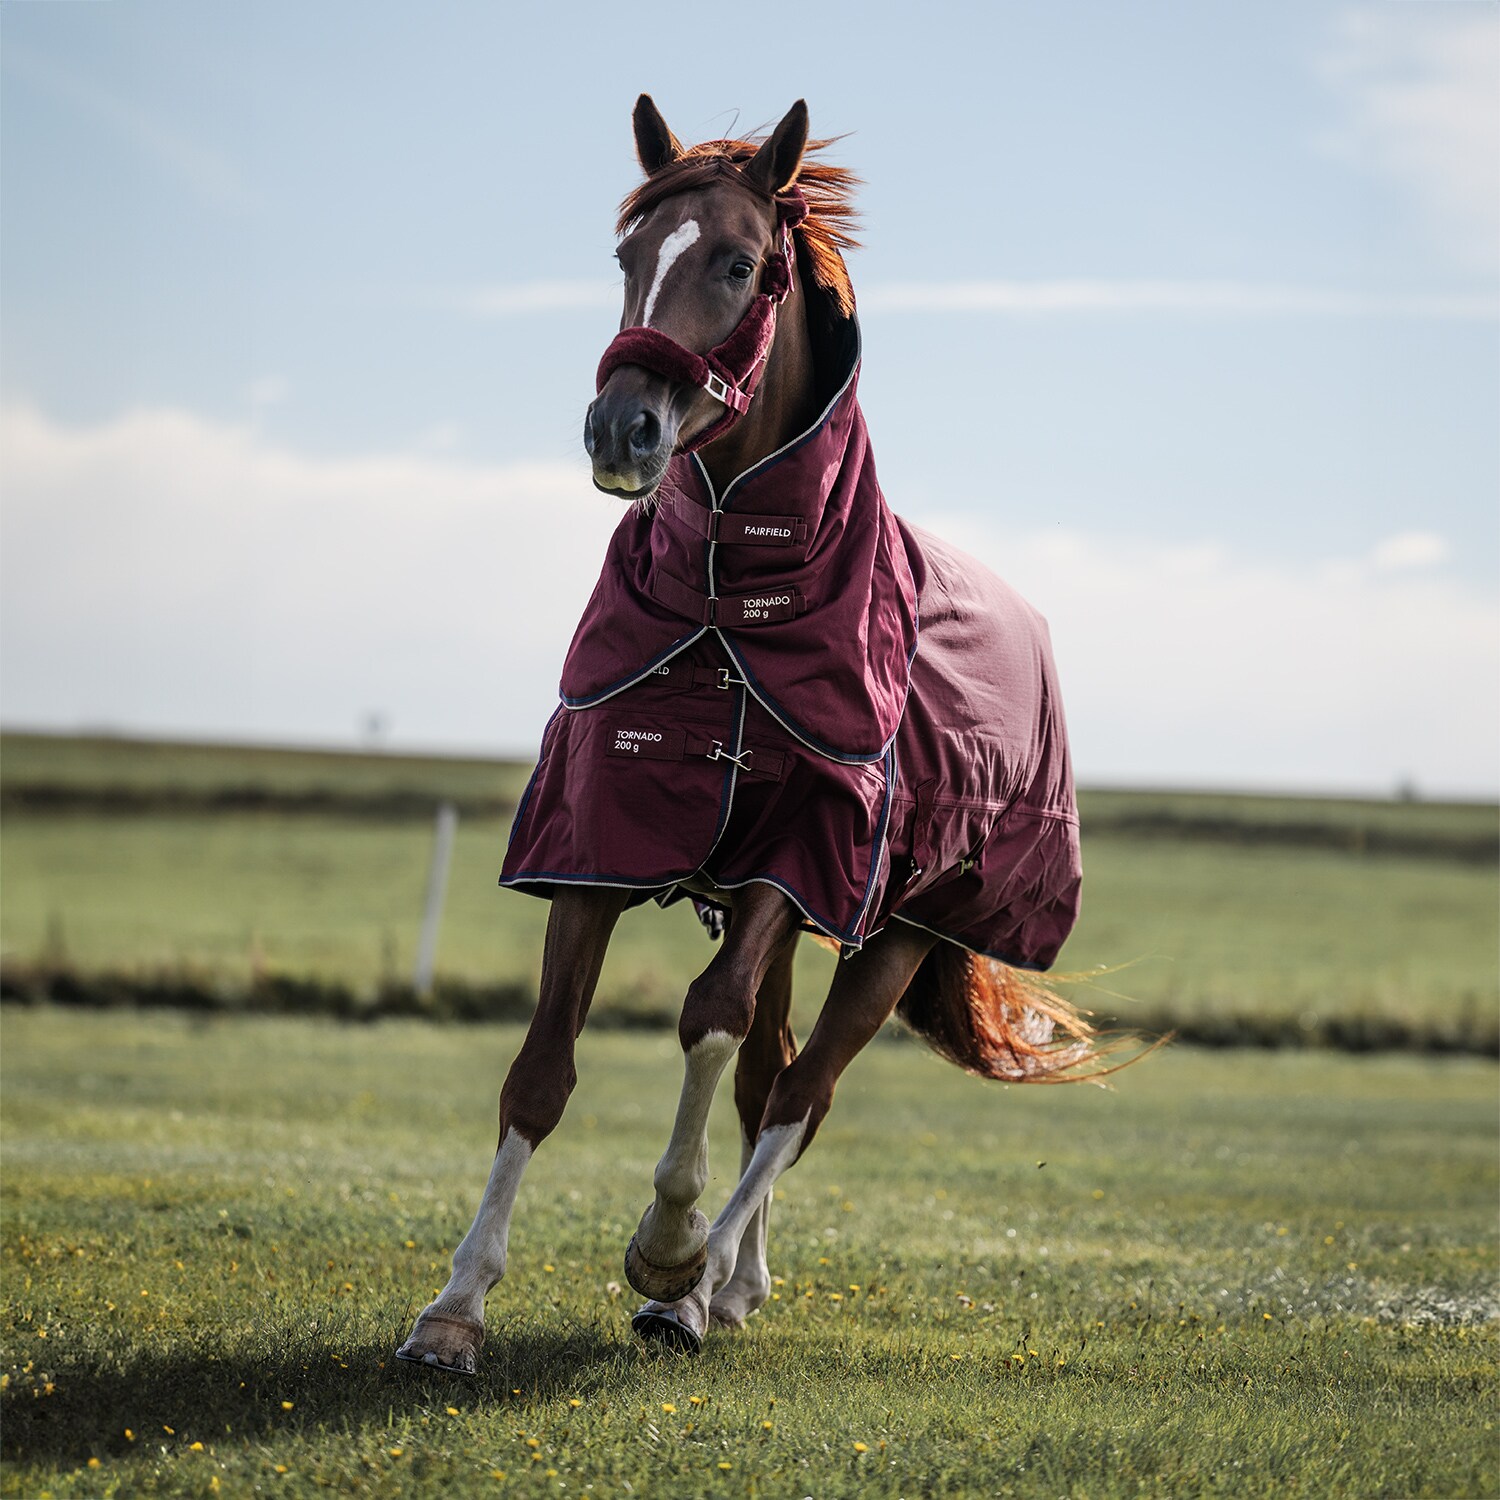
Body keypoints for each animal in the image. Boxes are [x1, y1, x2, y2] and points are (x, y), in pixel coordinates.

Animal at [399, 99, 1134, 1374]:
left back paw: (700, 1289)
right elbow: (542, 1069)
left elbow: (709, 1019)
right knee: (769, 1079)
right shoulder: (597, 842)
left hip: (894, 935)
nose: (622, 428)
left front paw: (668, 1250)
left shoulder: (798, 858)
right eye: (628, 257)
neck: (726, 597)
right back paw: (737, 1283)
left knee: (802, 1093)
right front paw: (456, 1307)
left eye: (740, 264)